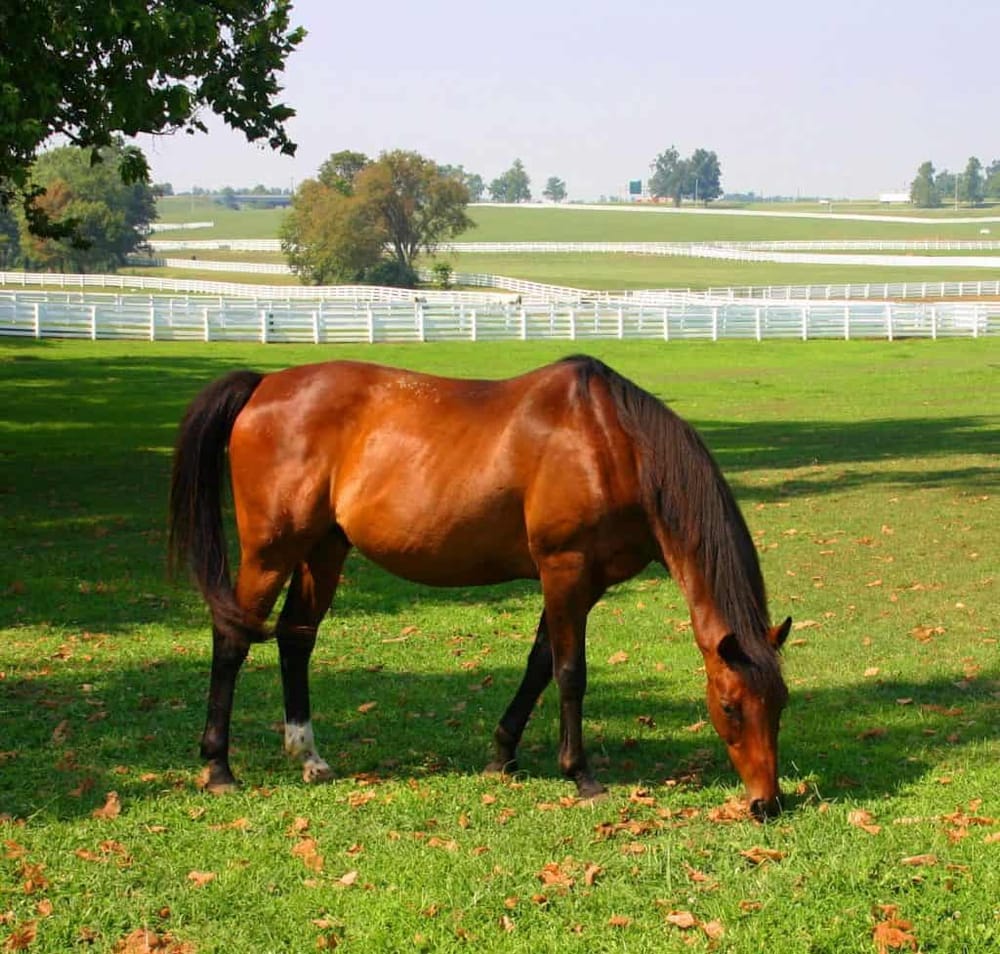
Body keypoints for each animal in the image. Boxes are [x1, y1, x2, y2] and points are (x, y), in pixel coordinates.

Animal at [169, 355, 791, 818]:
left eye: (780, 702)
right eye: (731, 706)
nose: (766, 802)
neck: (613, 444)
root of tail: (264, 385)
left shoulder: (580, 583)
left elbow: (539, 664)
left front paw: (502, 755)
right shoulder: (565, 569)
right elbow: (570, 673)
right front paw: (581, 775)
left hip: (324, 547)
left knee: (296, 637)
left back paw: (309, 757)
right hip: (271, 551)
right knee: (232, 638)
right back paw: (219, 767)